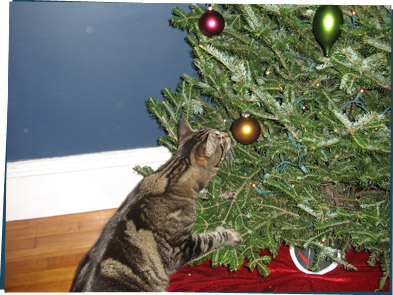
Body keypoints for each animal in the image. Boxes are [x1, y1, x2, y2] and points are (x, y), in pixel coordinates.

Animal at [70, 119, 242, 292]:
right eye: (220, 138)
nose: (228, 134)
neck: (168, 177)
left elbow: (210, 196)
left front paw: (227, 193)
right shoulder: (182, 248)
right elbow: (211, 238)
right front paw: (230, 235)